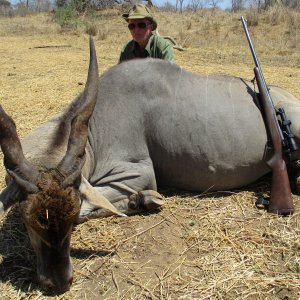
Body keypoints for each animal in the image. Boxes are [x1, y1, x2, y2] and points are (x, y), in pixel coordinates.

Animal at [0, 37, 300, 292]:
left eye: (70, 218)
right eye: (28, 220)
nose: (58, 282)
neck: (97, 124)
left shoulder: (138, 172)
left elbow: (92, 204)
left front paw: (144, 200)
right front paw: (141, 201)